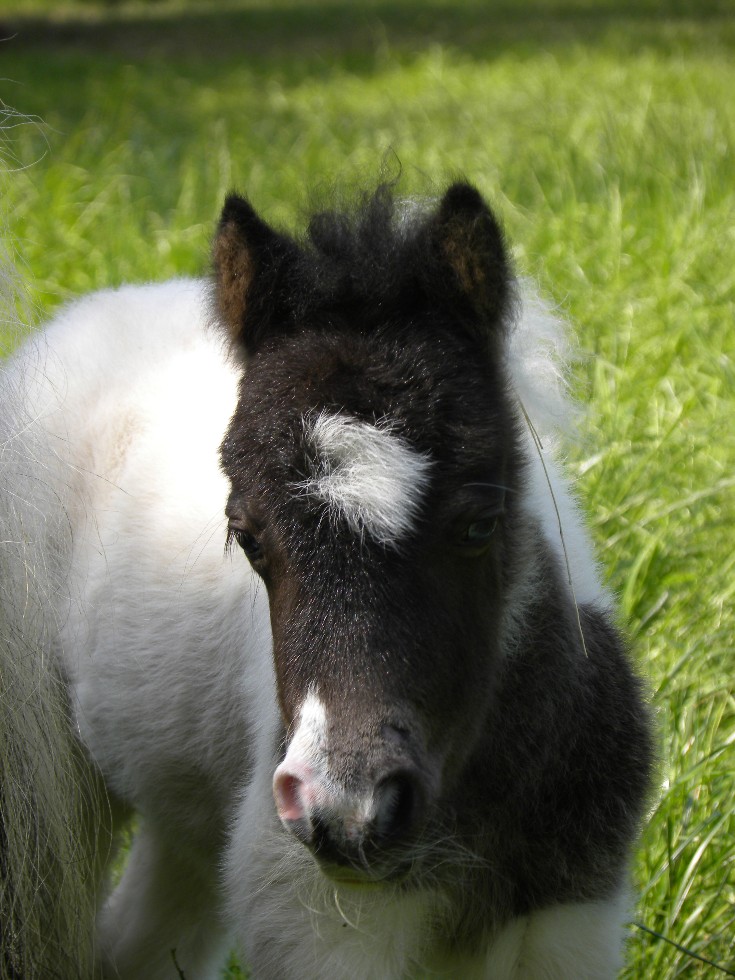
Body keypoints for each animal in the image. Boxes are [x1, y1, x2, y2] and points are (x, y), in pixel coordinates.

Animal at [2, 180, 652, 976]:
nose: (347, 810)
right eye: (246, 537)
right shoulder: (321, 931)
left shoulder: (572, 920)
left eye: (480, 523)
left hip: (190, 822)